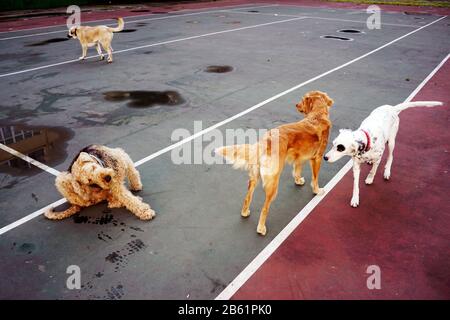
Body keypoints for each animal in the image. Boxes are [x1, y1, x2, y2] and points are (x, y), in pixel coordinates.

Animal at [214, 90, 334, 235]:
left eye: (302, 100)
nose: (296, 104)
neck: (317, 115)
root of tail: (265, 141)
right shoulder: (317, 158)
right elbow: (315, 178)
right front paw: (317, 190)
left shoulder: (299, 157)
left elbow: (297, 170)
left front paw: (298, 180)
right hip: (273, 182)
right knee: (265, 207)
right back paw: (261, 228)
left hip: (254, 177)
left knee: (247, 197)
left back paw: (245, 212)